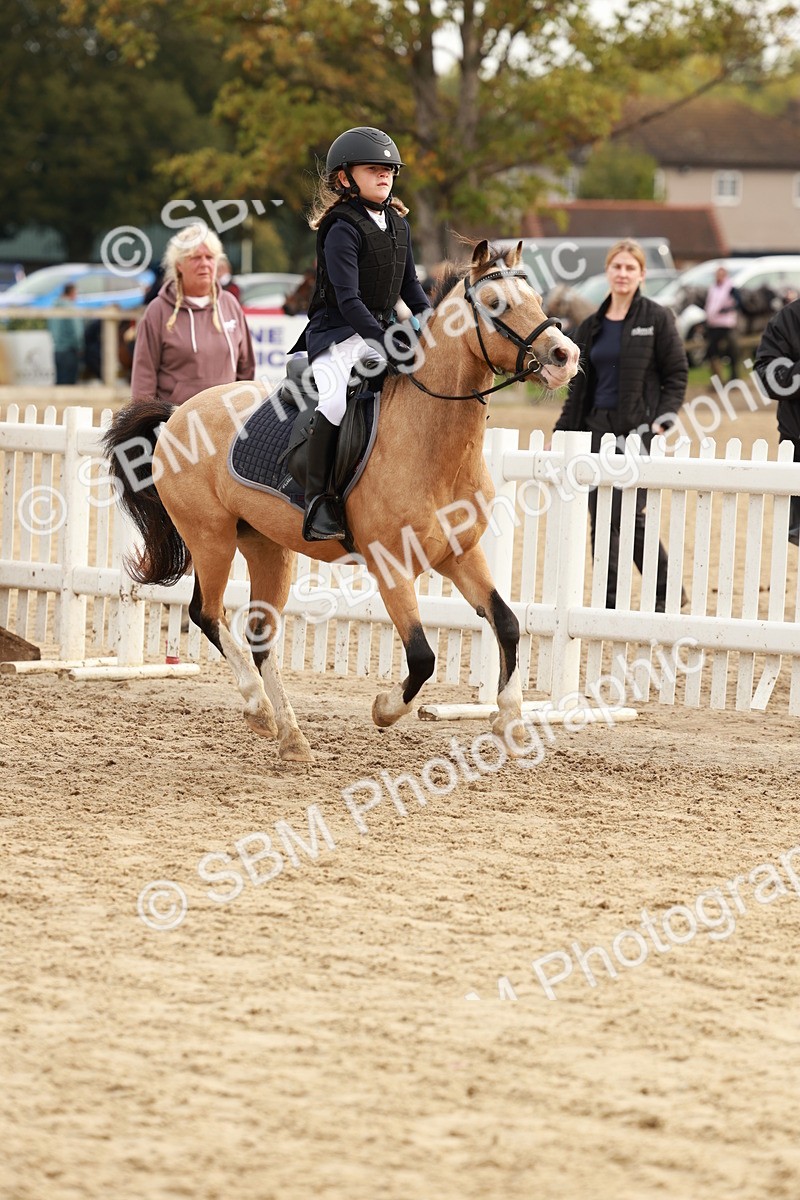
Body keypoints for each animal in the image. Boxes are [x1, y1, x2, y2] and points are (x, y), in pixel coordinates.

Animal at [104, 240, 580, 762]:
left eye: (536, 297)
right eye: (496, 305)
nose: (565, 356)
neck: (433, 441)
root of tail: (177, 414)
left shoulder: (461, 555)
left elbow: (507, 623)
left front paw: (510, 720)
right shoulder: (392, 567)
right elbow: (422, 657)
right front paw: (385, 710)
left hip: (266, 548)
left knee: (260, 636)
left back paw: (291, 736)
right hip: (211, 540)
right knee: (206, 614)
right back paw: (258, 709)